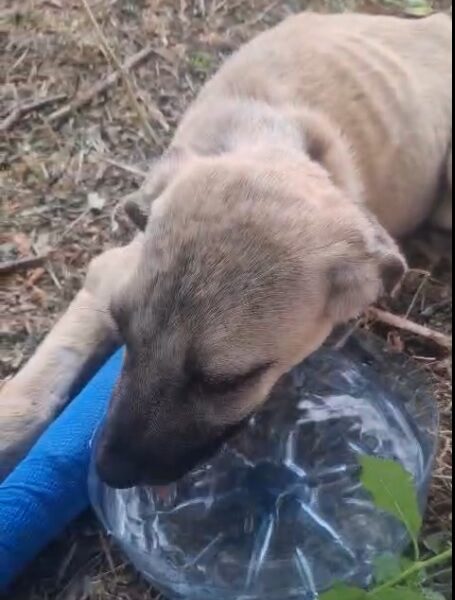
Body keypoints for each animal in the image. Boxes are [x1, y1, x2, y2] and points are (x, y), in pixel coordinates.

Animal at [0, 12, 452, 487]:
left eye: (225, 383)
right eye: (121, 326)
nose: (108, 471)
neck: (264, 137)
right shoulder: (108, 274)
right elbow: (33, 393)